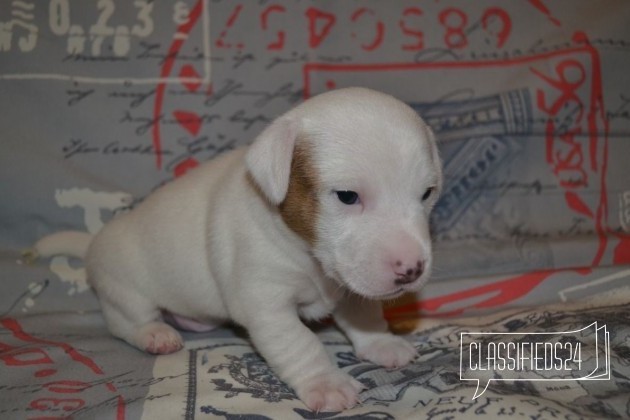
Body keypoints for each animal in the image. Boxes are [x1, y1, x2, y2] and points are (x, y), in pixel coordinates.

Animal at [32, 87, 442, 412]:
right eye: (347, 196)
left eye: (426, 194)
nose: (412, 269)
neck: (305, 251)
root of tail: (92, 245)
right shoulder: (266, 304)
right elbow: (300, 344)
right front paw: (326, 383)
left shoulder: (351, 280)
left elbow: (364, 313)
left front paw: (381, 343)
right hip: (126, 287)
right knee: (125, 321)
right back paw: (155, 334)